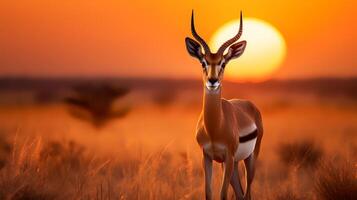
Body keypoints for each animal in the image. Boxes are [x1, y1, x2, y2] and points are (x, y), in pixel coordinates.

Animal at [185, 11, 262, 200]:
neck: (214, 128)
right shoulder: (207, 156)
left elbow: (223, 194)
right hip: (233, 165)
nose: (212, 81)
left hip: (249, 159)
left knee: (248, 193)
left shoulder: (228, 157)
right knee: (240, 193)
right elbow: (209, 192)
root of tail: (249, 105)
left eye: (223, 62)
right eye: (203, 62)